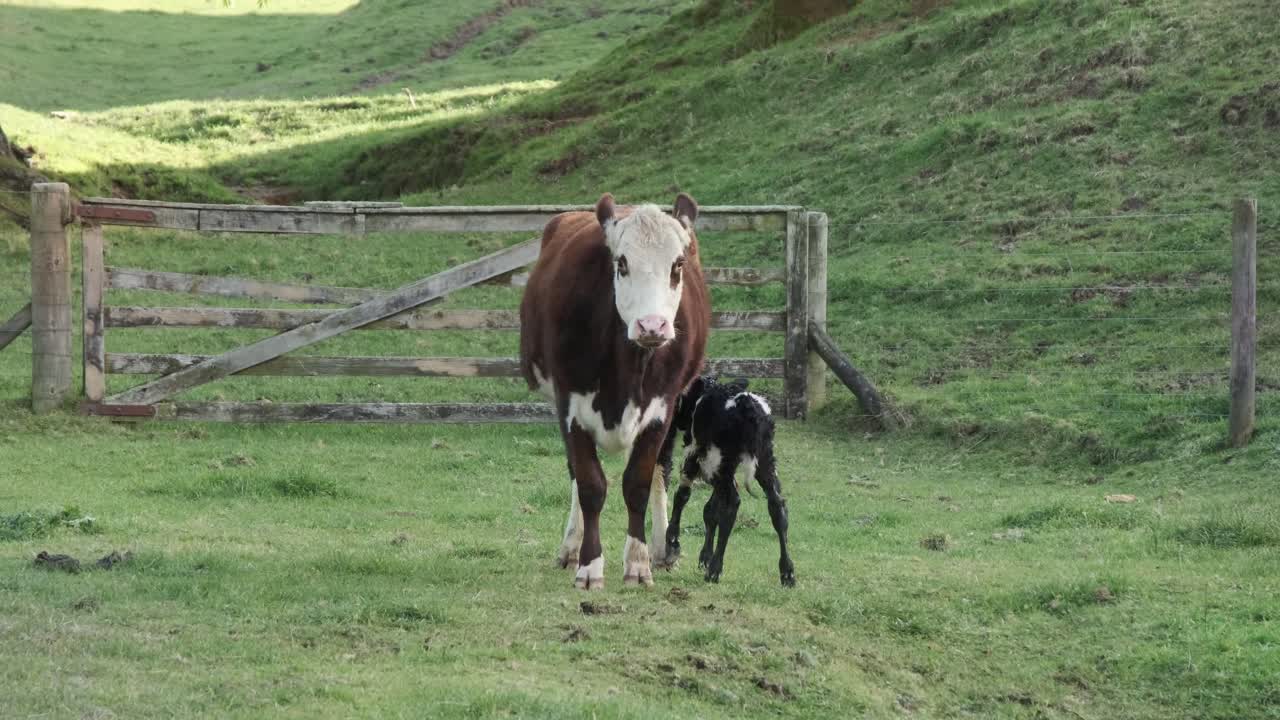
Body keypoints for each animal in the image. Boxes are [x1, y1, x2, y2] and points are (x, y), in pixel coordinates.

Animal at [520, 193, 710, 590]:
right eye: (621, 263)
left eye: (678, 264)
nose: (652, 325)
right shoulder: (570, 407)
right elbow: (590, 484)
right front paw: (589, 565)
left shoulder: (661, 409)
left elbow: (639, 482)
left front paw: (638, 563)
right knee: (575, 476)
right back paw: (571, 547)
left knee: (661, 469)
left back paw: (662, 549)